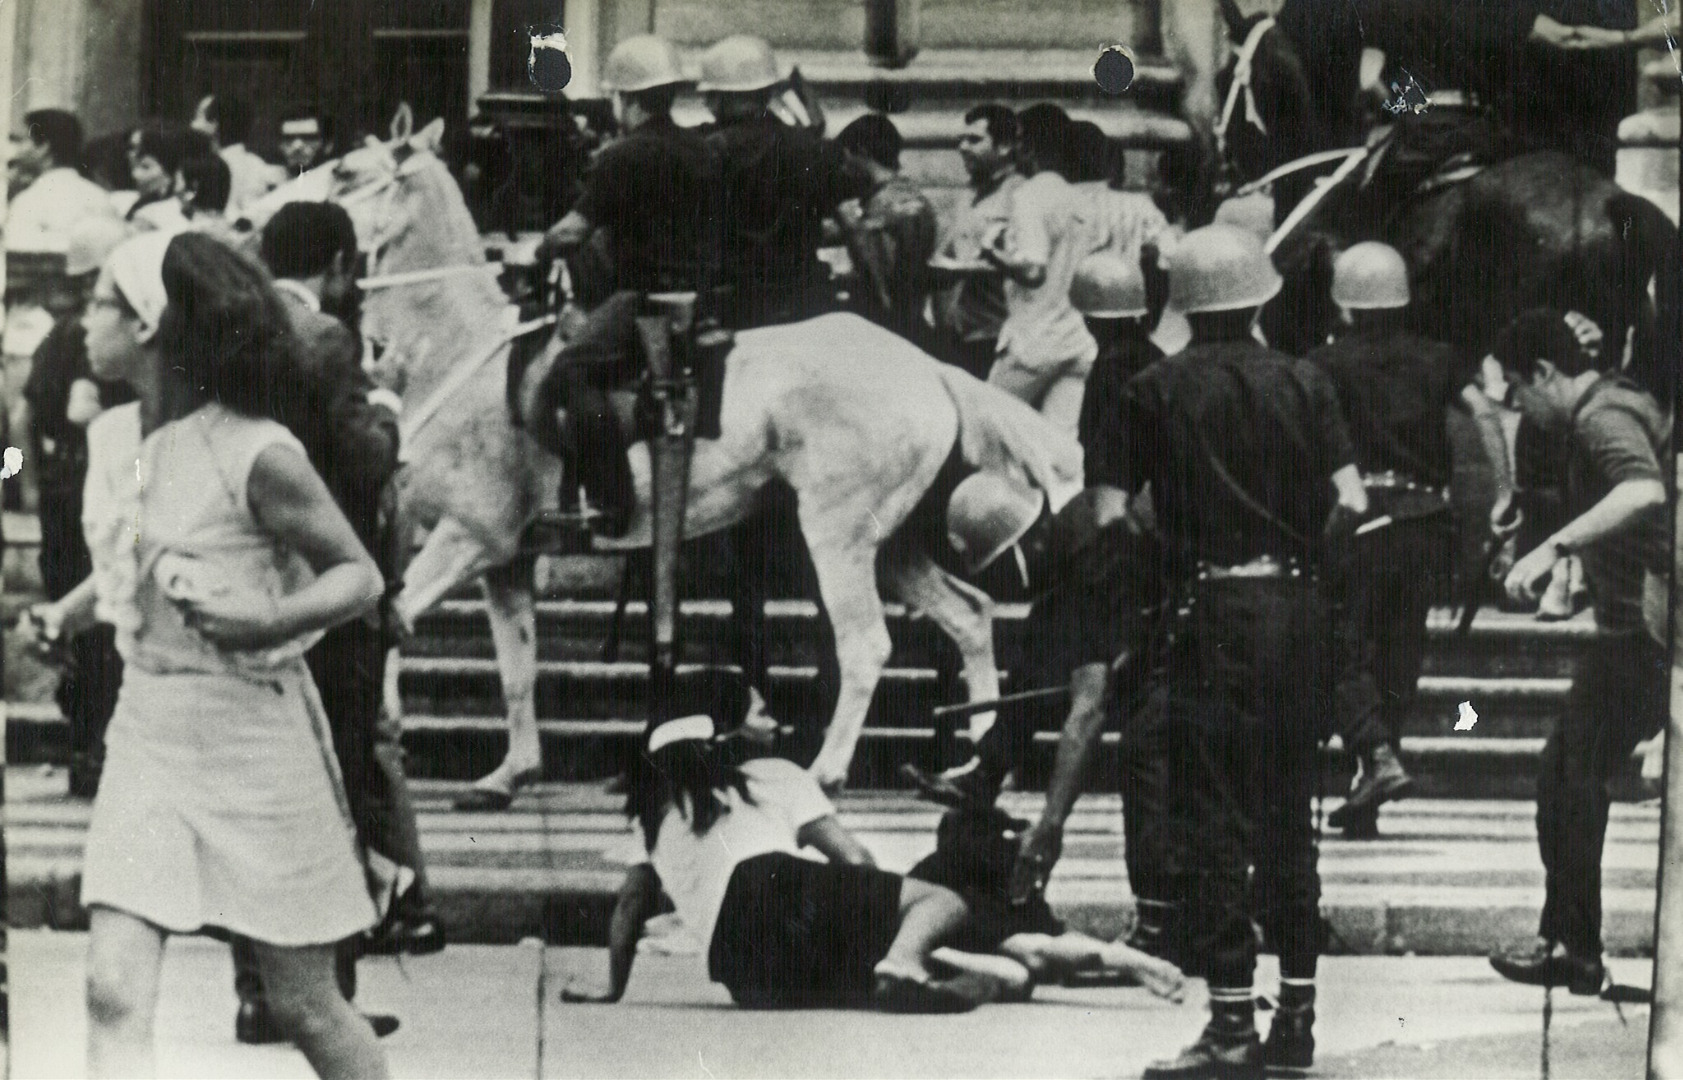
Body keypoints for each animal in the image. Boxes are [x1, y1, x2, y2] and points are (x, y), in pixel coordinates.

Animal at [262, 124, 1077, 800]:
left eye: (347, 171)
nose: (256, 222)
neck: (462, 350)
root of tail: (928, 367)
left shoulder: (470, 538)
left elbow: (394, 617)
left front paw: (383, 732)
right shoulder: (507, 561)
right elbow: (517, 668)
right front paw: (511, 772)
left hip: (838, 536)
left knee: (866, 644)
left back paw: (829, 769)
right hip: (892, 543)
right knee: (970, 619)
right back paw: (973, 764)